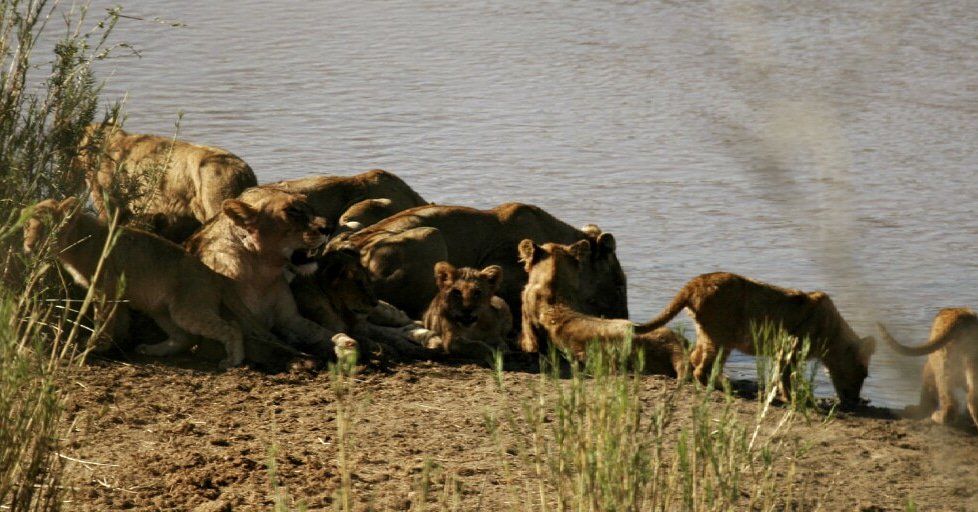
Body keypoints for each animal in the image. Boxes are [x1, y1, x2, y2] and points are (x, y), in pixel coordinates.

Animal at [22, 197, 310, 370]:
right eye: (26, 227)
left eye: (46, 228)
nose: (28, 245)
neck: (76, 239)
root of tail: (216, 276)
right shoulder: (117, 293)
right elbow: (119, 321)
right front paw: (115, 345)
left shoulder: (105, 288)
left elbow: (104, 321)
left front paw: (93, 347)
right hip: (160, 309)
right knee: (184, 337)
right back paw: (152, 349)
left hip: (187, 309)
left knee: (229, 328)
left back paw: (232, 360)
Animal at [184, 187, 356, 359]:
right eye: (291, 210)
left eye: (309, 206)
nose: (329, 228)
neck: (262, 273)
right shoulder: (222, 337)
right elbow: (270, 347)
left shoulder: (290, 319)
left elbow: (321, 332)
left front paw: (344, 343)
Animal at [638, 272, 876, 406]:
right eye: (863, 374)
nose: (855, 400)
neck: (833, 333)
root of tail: (694, 283)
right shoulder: (792, 348)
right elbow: (786, 377)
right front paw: (796, 400)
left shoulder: (783, 350)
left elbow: (779, 376)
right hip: (721, 336)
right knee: (701, 368)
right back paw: (724, 388)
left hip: (708, 334)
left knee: (695, 359)